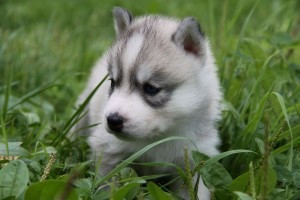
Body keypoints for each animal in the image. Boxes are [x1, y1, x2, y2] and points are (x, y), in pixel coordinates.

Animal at [76, 7, 221, 199]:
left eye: (151, 88)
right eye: (113, 82)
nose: (112, 120)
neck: (159, 137)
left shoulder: (194, 161)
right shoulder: (108, 152)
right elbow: (107, 187)